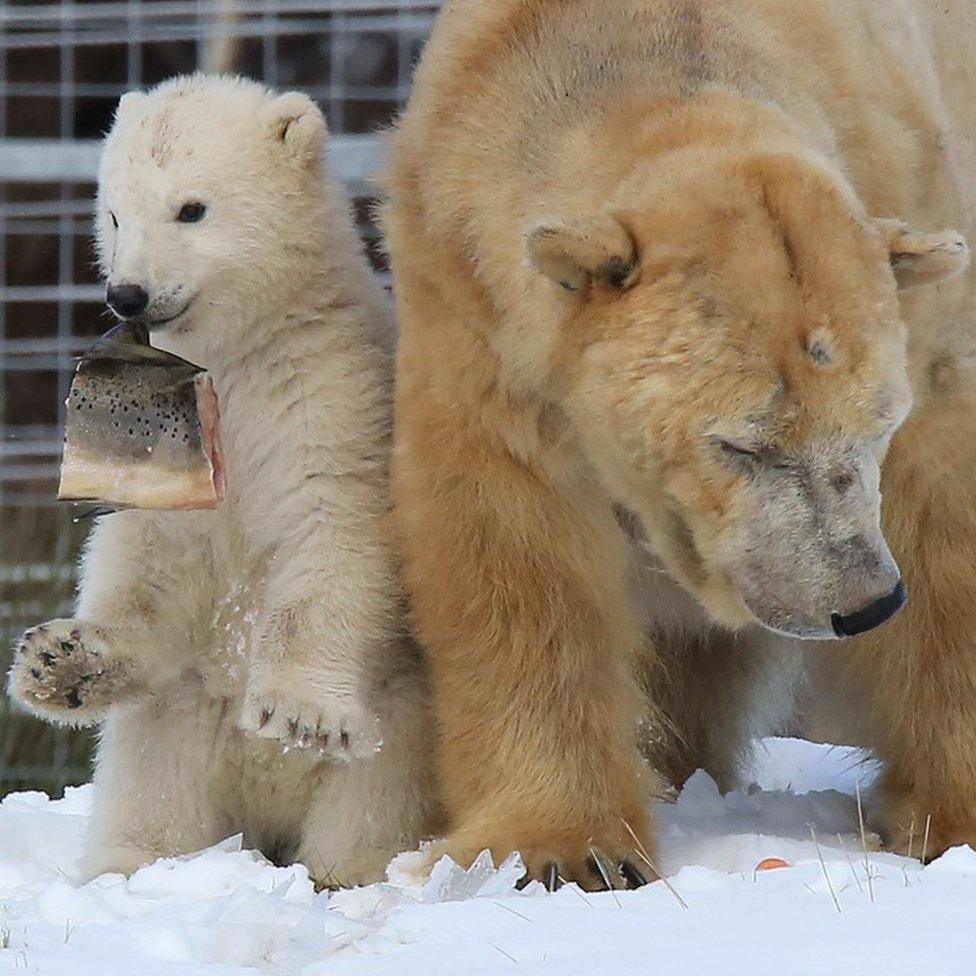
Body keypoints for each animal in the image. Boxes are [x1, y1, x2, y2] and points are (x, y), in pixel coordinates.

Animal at [384, 0, 976, 888]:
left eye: (878, 422)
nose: (864, 602)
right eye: (742, 444)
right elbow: (514, 549)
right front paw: (561, 852)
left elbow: (938, 523)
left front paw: (950, 820)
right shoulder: (468, 296)